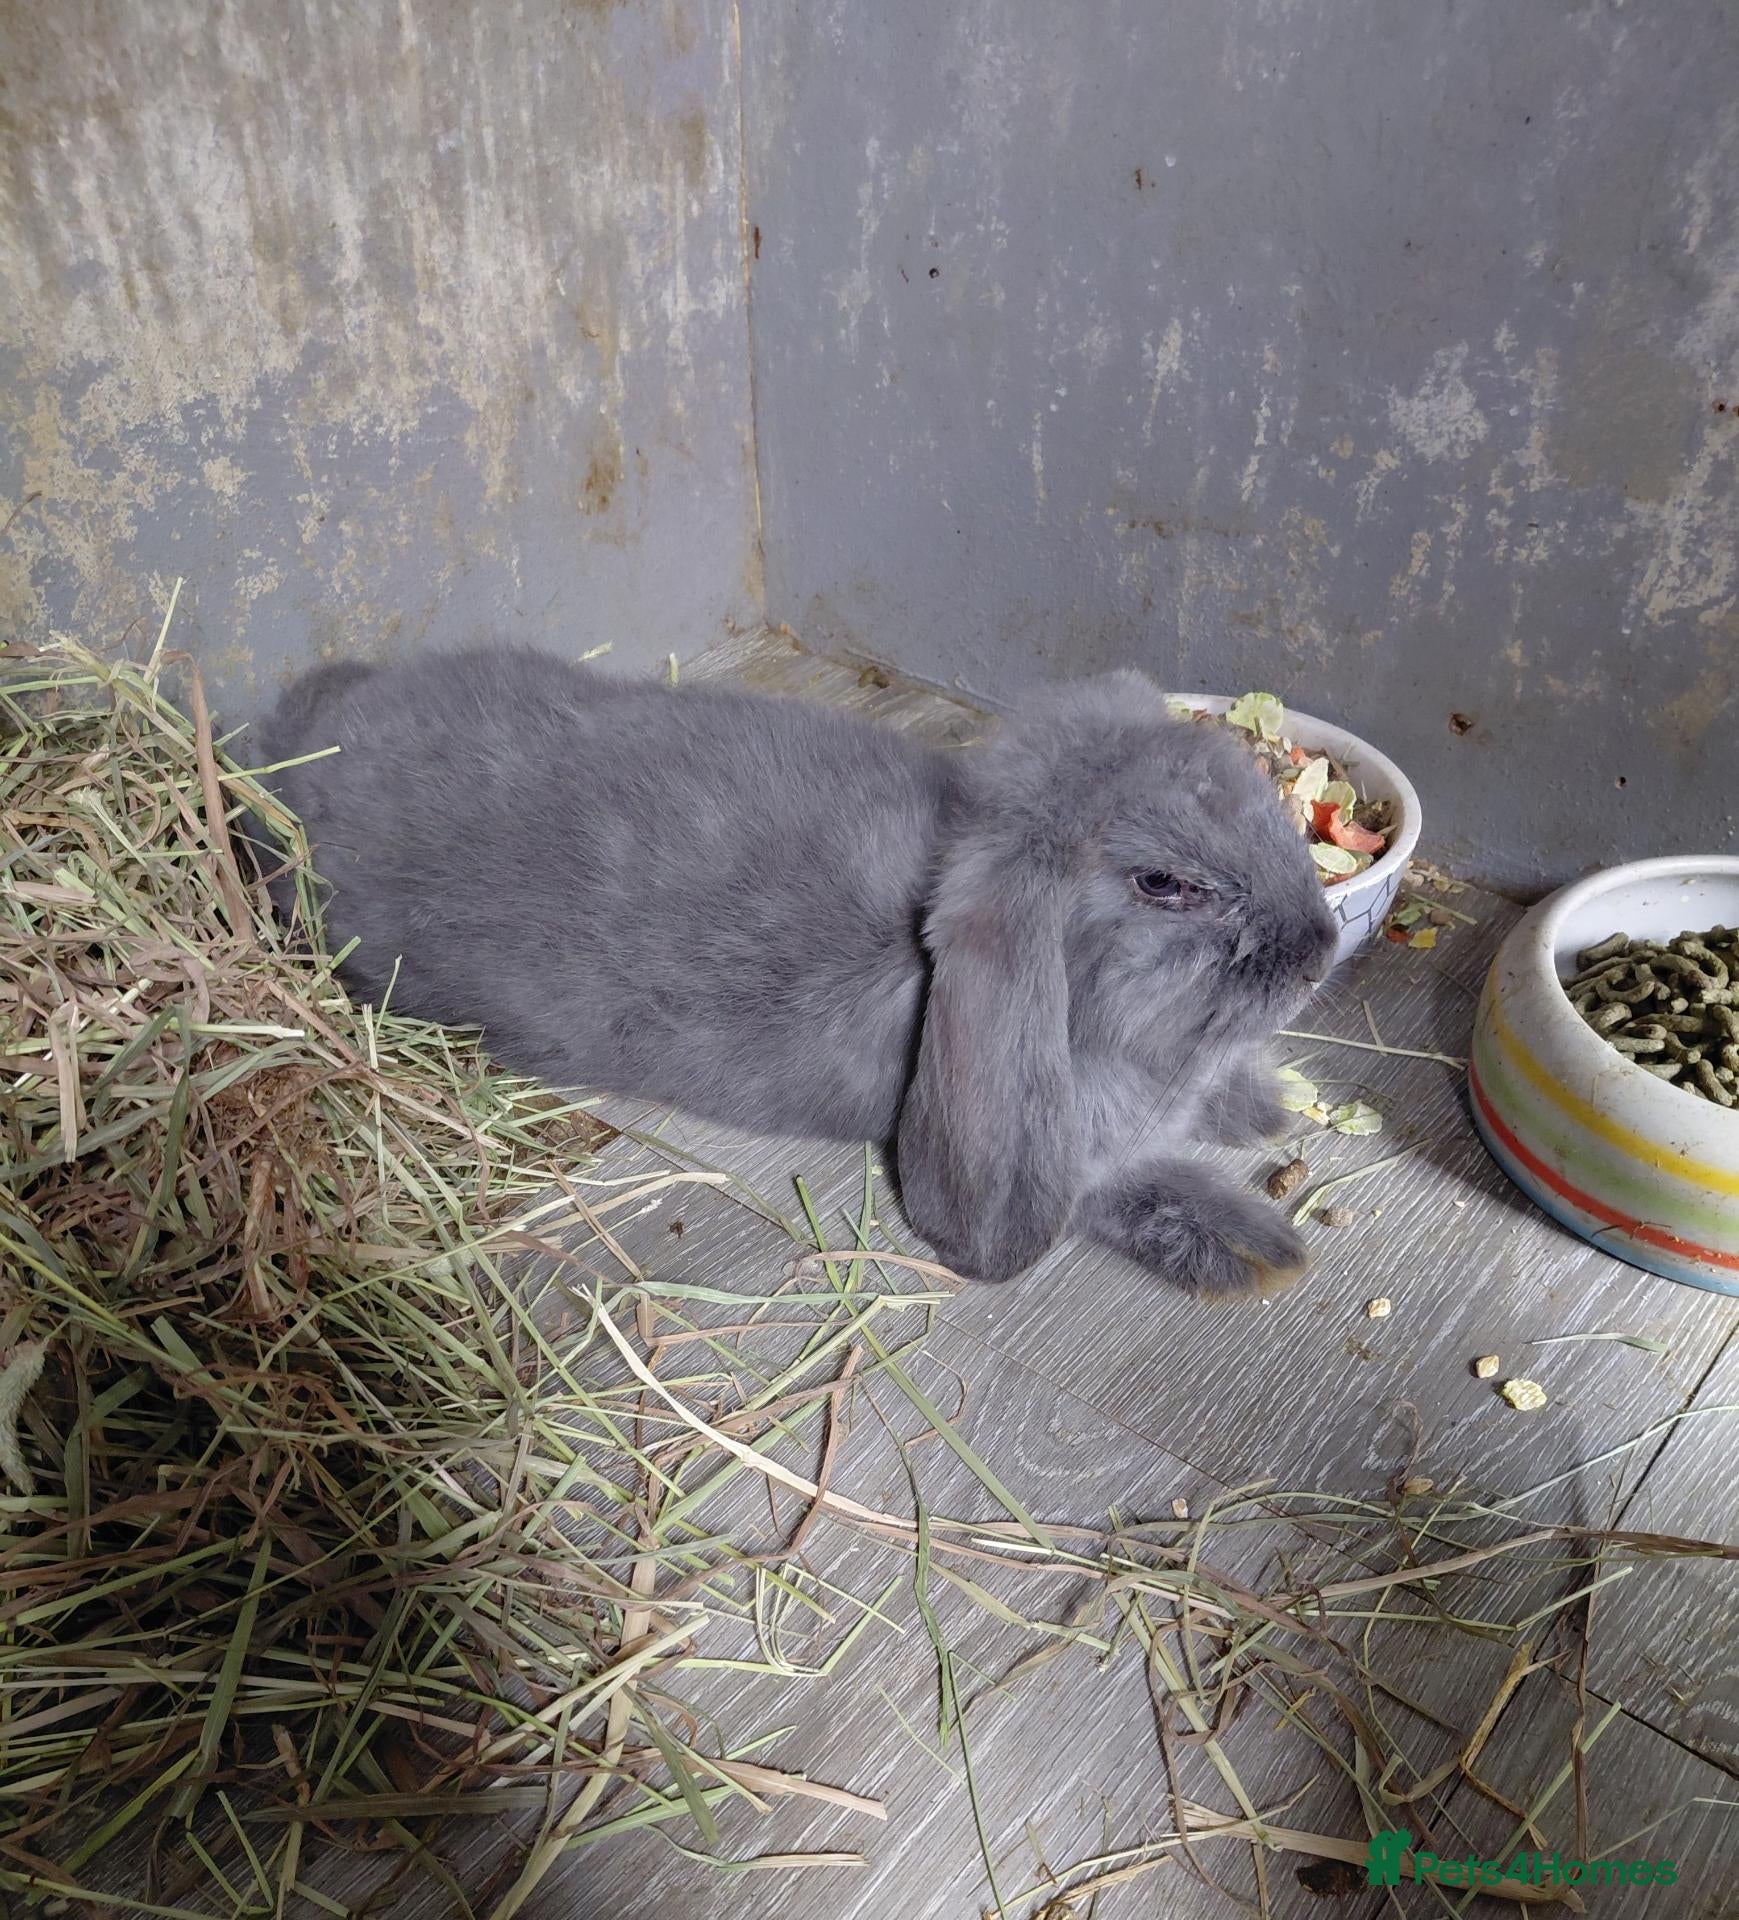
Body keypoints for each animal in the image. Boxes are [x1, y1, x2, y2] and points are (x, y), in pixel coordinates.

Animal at [251, 646, 1338, 1296]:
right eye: (1162, 883)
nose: (1319, 950)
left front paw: (1265, 1107)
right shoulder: (1083, 1153)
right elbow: (1127, 1187)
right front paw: (1260, 1251)